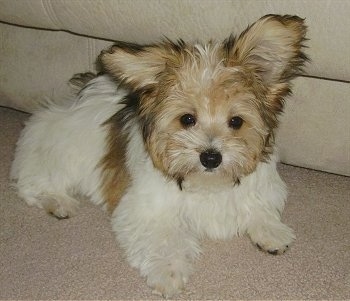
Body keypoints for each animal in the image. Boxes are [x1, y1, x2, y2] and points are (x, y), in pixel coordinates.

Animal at [10, 14, 306, 298]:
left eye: (236, 121)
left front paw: (271, 230)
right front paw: (169, 273)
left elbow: (258, 205)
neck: (207, 184)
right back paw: (58, 202)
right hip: (61, 152)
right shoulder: (146, 209)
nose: (211, 158)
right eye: (187, 119)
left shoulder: (257, 187)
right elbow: (164, 238)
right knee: (32, 181)